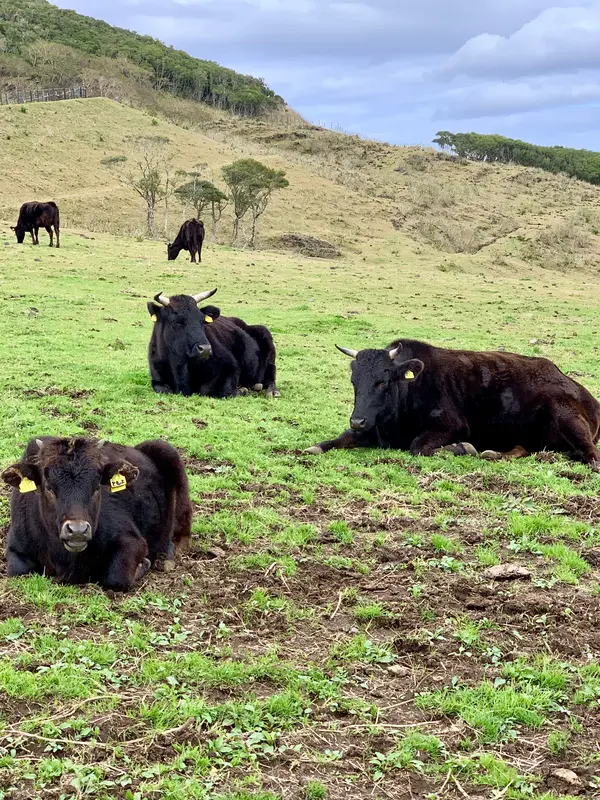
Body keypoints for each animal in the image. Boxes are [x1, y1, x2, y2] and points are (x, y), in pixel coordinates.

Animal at [0, 434, 192, 592]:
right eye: (48, 487)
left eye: (97, 486)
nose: (77, 531)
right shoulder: (16, 546)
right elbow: (19, 571)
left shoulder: (132, 541)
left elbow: (116, 578)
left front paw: (143, 564)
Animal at [150, 290, 282, 398]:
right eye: (177, 321)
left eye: (202, 321)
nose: (205, 349)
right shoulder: (157, 379)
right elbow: (163, 389)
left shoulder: (231, 367)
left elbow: (210, 389)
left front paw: (242, 390)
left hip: (267, 341)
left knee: (271, 373)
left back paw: (271, 391)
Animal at [308, 340, 600, 468]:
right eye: (354, 381)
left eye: (383, 381)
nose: (358, 420)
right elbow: (338, 439)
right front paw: (315, 447)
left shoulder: (451, 426)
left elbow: (419, 447)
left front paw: (462, 448)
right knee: (523, 448)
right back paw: (494, 453)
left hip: (568, 418)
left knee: (592, 456)